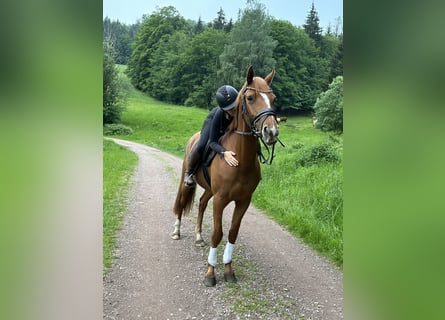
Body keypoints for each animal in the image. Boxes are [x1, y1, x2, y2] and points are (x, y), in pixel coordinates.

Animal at [170, 66, 278, 286]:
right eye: (251, 98)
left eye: (273, 98)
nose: (271, 132)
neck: (240, 160)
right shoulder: (220, 200)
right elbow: (217, 233)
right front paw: (210, 273)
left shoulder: (243, 201)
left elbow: (232, 233)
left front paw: (228, 269)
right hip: (188, 182)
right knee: (180, 203)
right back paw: (176, 231)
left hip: (209, 191)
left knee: (202, 204)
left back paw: (198, 237)